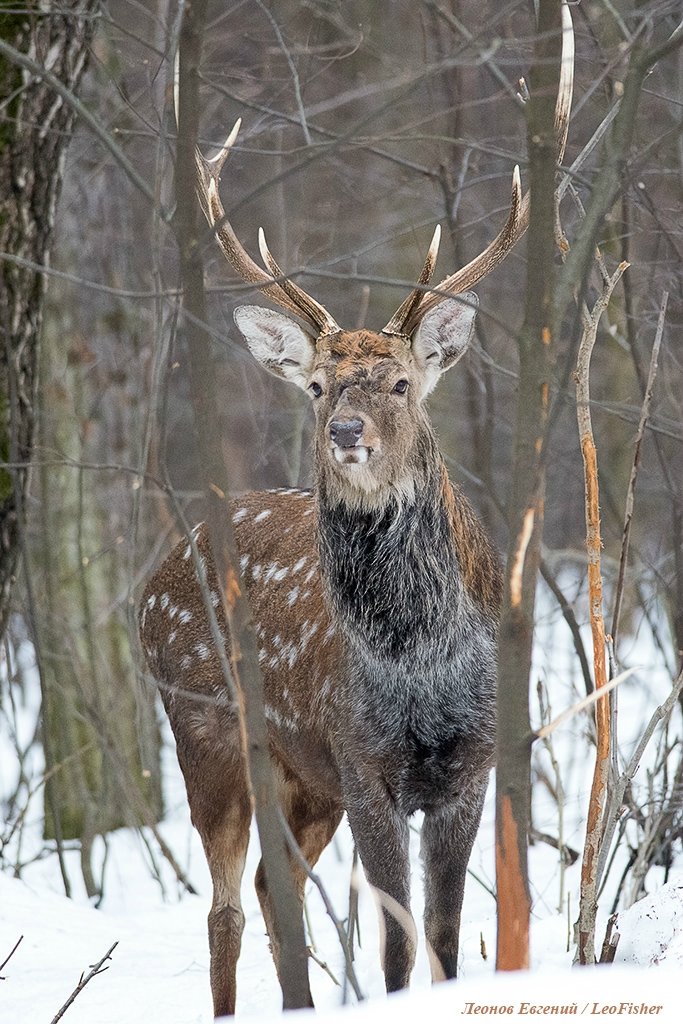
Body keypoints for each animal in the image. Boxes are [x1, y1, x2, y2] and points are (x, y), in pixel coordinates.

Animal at [140, 9, 573, 1017]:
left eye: (401, 382)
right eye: (319, 384)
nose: (345, 430)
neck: (416, 665)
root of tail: (153, 578)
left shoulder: (466, 766)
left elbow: (446, 937)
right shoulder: (363, 758)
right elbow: (397, 947)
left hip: (306, 780)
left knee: (275, 887)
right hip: (206, 727)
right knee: (225, 902)